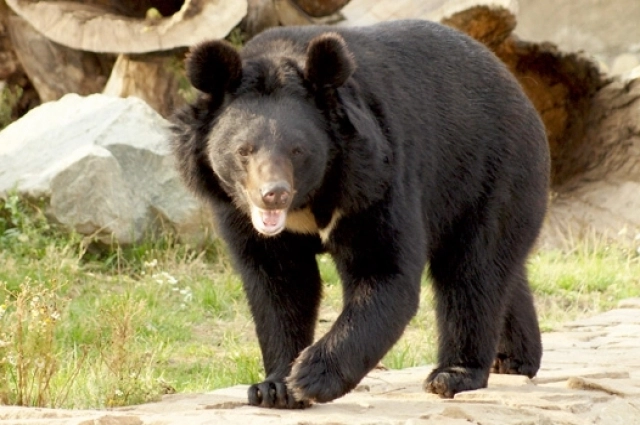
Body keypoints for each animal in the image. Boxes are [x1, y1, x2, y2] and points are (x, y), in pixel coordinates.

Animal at [171, 19, 550, 409]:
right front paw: (273, 388)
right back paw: (514, 358)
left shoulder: (374, 179)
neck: (309, 201)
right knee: (500, 270)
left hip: (489, 173)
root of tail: (519, 90)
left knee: (472, 271)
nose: (273, 194)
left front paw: (309, 376)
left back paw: (454, 374)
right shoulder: (238, 211)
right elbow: (279, 285)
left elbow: (383, 270)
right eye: (244, 150)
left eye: (298, 150)